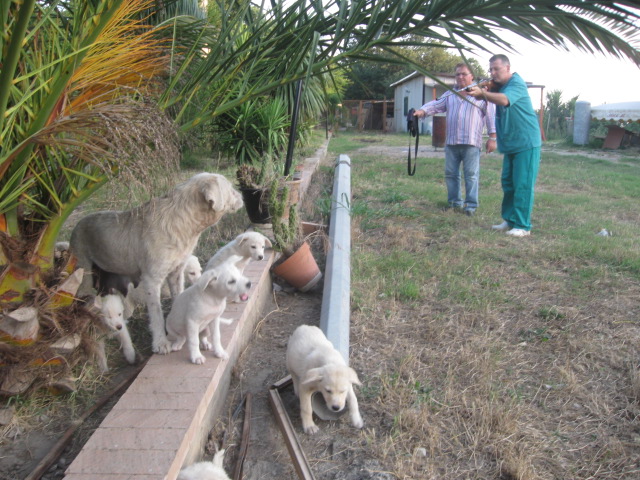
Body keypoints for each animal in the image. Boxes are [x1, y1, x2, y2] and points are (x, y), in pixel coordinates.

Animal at [69, 173, 243, 354]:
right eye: (230, 188)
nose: (242, 196)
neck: (183, 220)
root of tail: (77, 225)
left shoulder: (176, 272)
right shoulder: (151, 279)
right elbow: (156, 313)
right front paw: (161, 343)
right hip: (83, 274)